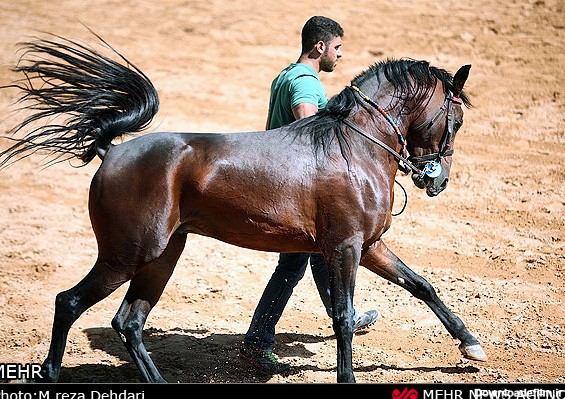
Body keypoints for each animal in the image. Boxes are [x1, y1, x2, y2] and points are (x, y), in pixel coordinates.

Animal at [0, 34, 484, 384]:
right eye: (457, 120)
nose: (437, 180)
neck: (355, 147)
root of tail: (111, 151)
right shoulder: (345, 248)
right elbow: (344, 318)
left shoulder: (369, 246)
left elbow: (422, 286)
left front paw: (470, 344)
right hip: (126, 255)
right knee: (69, 302)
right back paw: (51, 372)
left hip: (162, 256)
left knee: (129, 322)